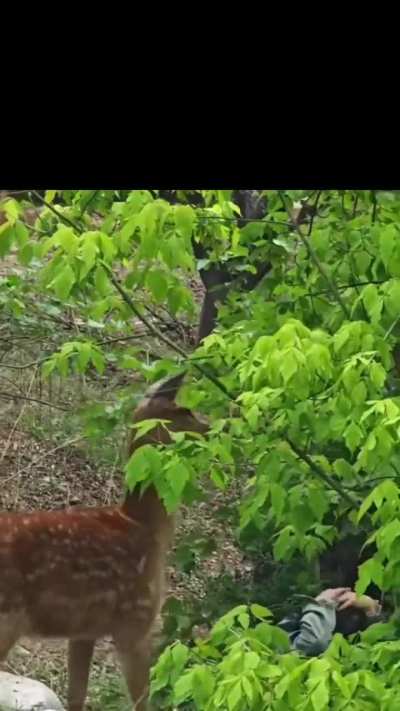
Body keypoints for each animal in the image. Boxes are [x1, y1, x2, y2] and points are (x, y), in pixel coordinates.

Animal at [0, 373, 208, 711]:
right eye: (184, 411)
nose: (213, 426)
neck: (145, 526)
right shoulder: (135, 624)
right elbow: (141, 702)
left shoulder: (84, 630)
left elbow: (77, 696)